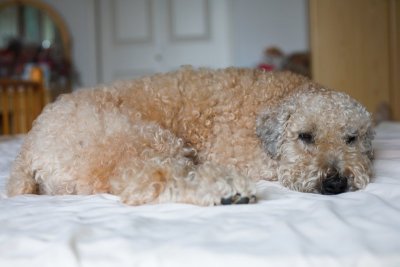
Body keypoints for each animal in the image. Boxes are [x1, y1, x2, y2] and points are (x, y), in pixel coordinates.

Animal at [7, 68, 376, 206]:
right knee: (147, 182)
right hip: (141, 140)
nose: (335, 183)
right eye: (305, 136)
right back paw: (227, 191)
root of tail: (28, 148)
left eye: (351, 138)